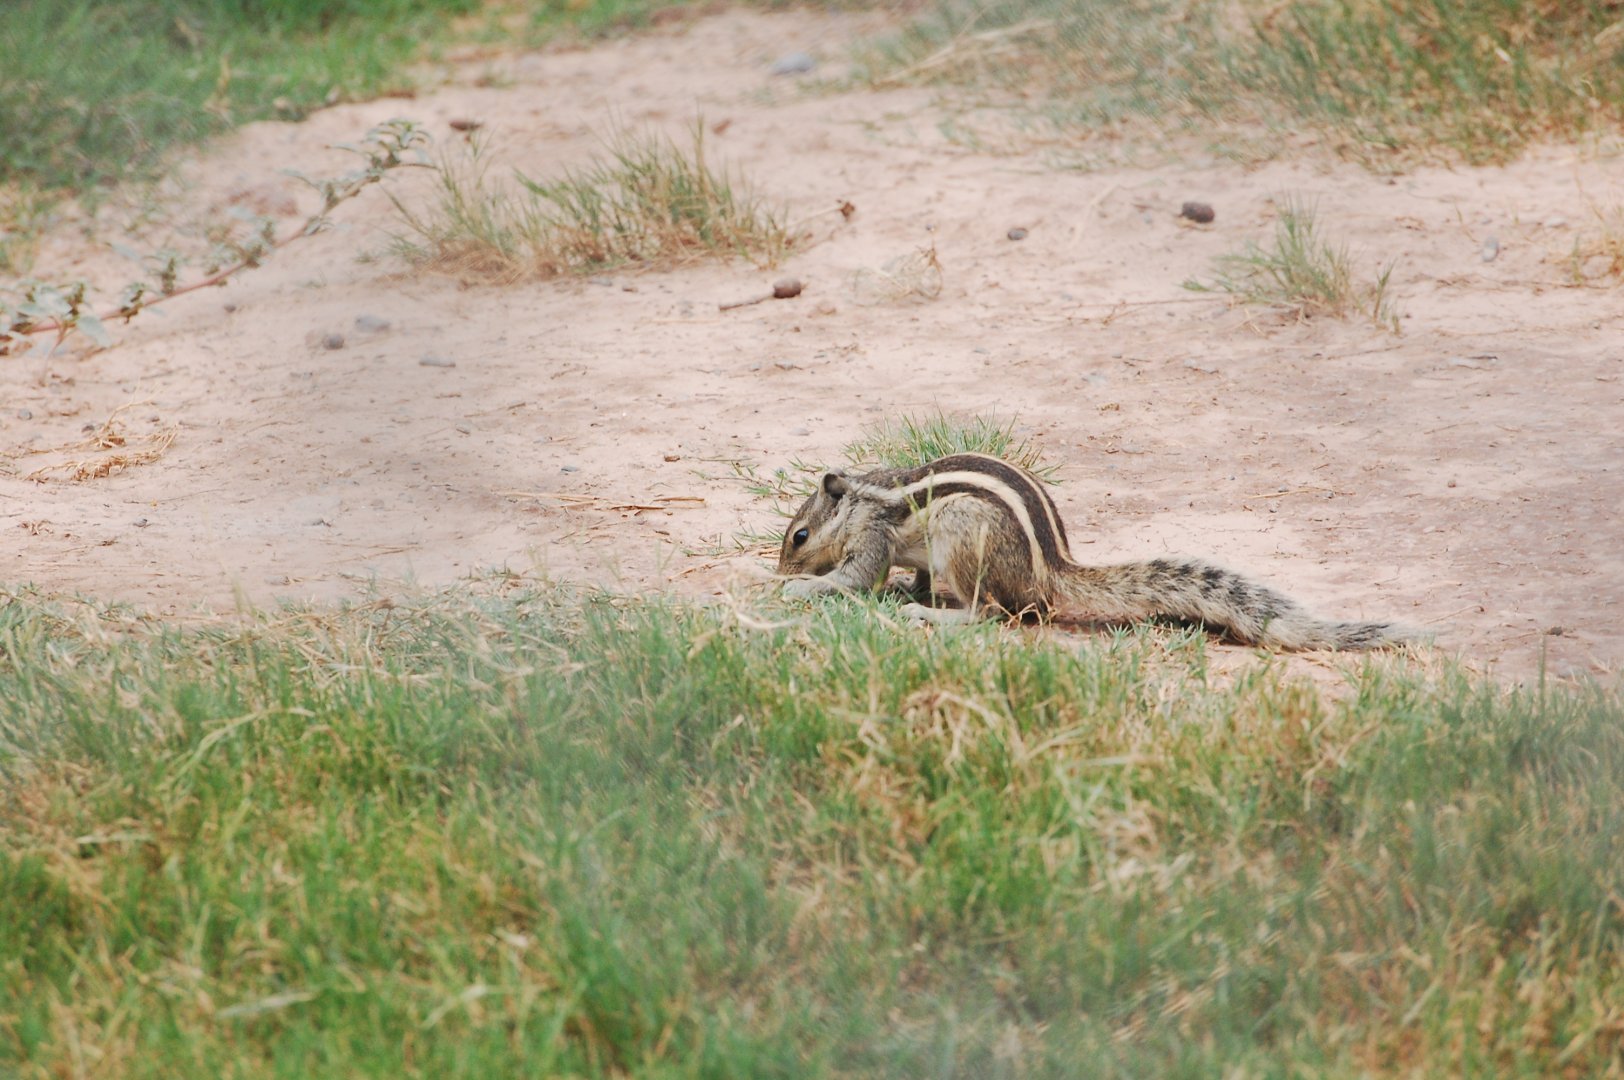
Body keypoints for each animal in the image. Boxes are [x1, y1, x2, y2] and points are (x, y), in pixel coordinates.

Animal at [777, 452, 1407, 650]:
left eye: (798, 536)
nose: (781, 564)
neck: (860, 498)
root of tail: (1052, 573)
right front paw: (911, 587)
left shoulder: (873, 538)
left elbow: (856, 578)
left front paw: (800, 585)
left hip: (962, 533)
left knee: (991, 614)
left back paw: (931, 616)